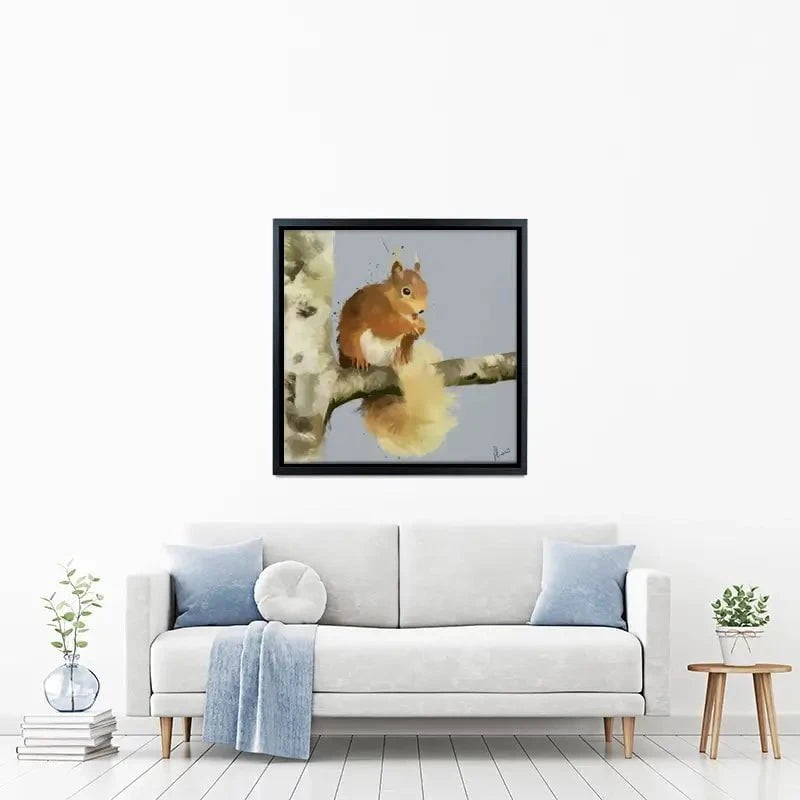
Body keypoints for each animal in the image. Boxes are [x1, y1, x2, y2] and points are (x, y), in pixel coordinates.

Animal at [337, 257, 456, 456]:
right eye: (406, 291)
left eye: (426, 287)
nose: (421, 311)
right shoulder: (375, 308)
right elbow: (387, 325)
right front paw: (413, 325)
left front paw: (419, 327)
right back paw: (360, 360)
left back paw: (401, 356)